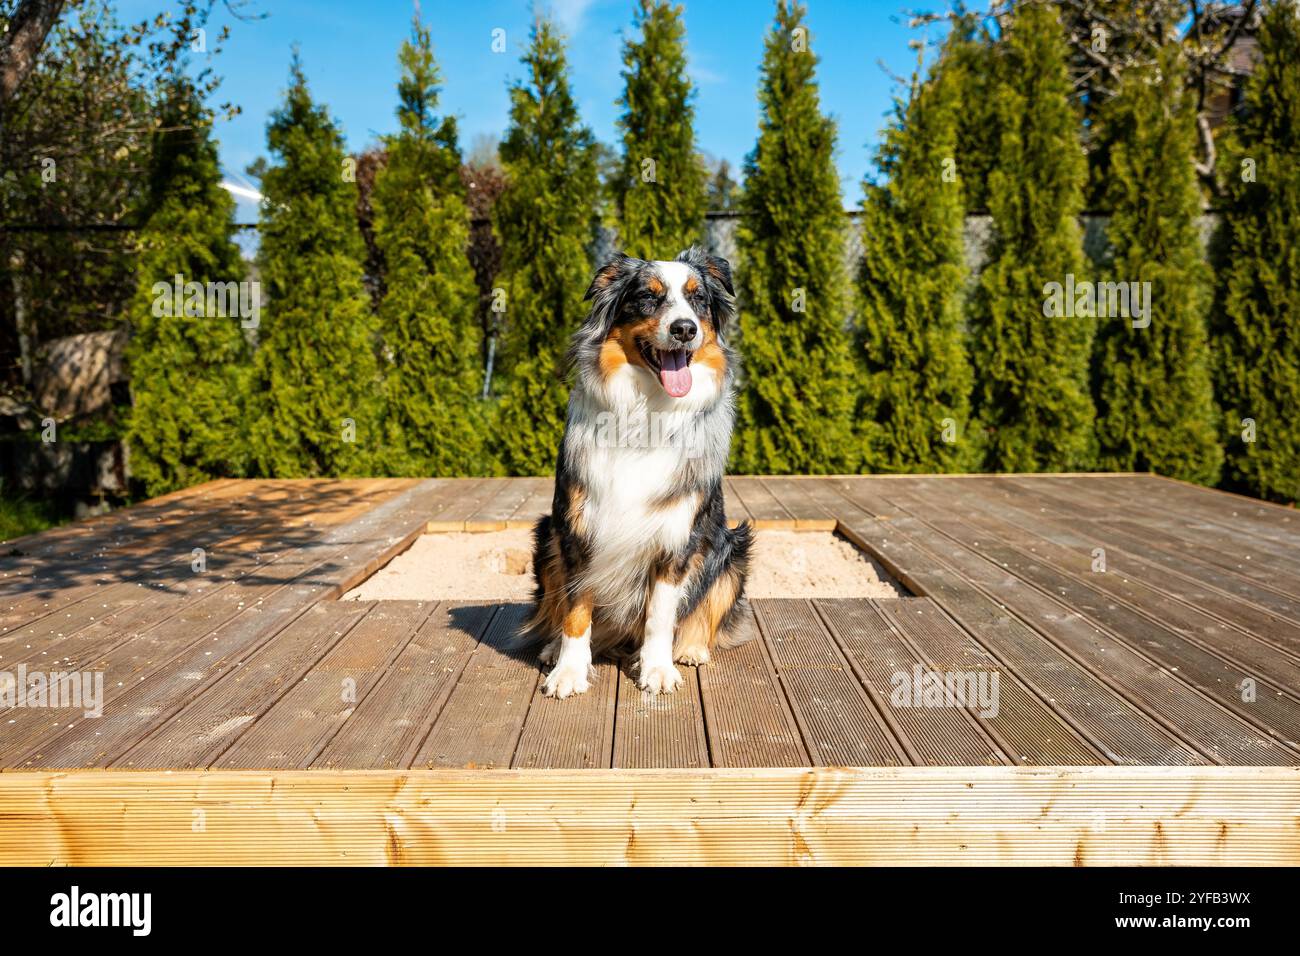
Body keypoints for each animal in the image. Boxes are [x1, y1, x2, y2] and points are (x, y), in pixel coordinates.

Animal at [522, 247, 754, 697]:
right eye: (648, 297)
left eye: (698, 300)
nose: (685, 329)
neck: (646, 413)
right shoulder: (577, 531)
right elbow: (575, 610)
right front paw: (569, 670)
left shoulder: (676, 539)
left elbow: (660, 617)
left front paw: (657, 669)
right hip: (545, 538)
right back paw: (553, 648)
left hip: (733, 548)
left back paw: (692, 648)